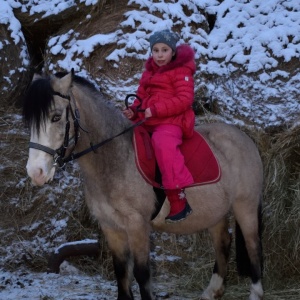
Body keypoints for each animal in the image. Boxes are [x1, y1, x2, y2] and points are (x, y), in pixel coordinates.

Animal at [22, 71, 262, 300]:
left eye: (56, 116)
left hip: (245, 207)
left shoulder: (137, 225)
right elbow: (121, 272)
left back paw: (255, 293)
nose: (36, 172)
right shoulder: (111, 227)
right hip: (216, 213)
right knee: (223, 242)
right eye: (30, 123)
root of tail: (244, 138)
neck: (116, 160)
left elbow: (142, 273)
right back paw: (212, 291)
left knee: (253, 246)